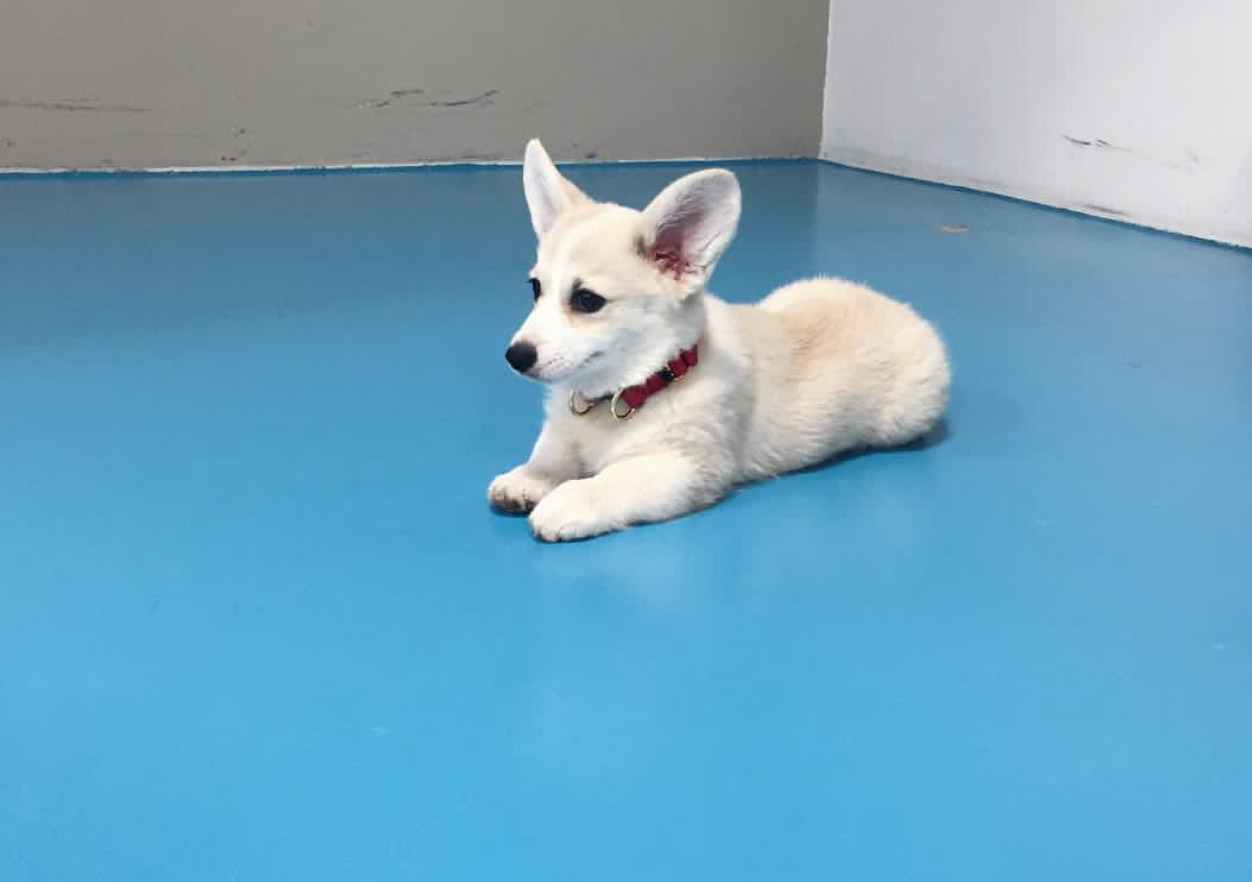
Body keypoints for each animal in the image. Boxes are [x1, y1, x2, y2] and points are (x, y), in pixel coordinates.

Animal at [489, 139, 950, 541]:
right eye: (535, 288)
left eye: (587, 300)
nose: (515, 356)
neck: (630, 389)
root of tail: (897, 305)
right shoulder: (566, 428)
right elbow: (550, 451)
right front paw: (527, 478)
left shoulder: (683, 468)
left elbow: (614, 479)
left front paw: (569, 500)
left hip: (902, 419)